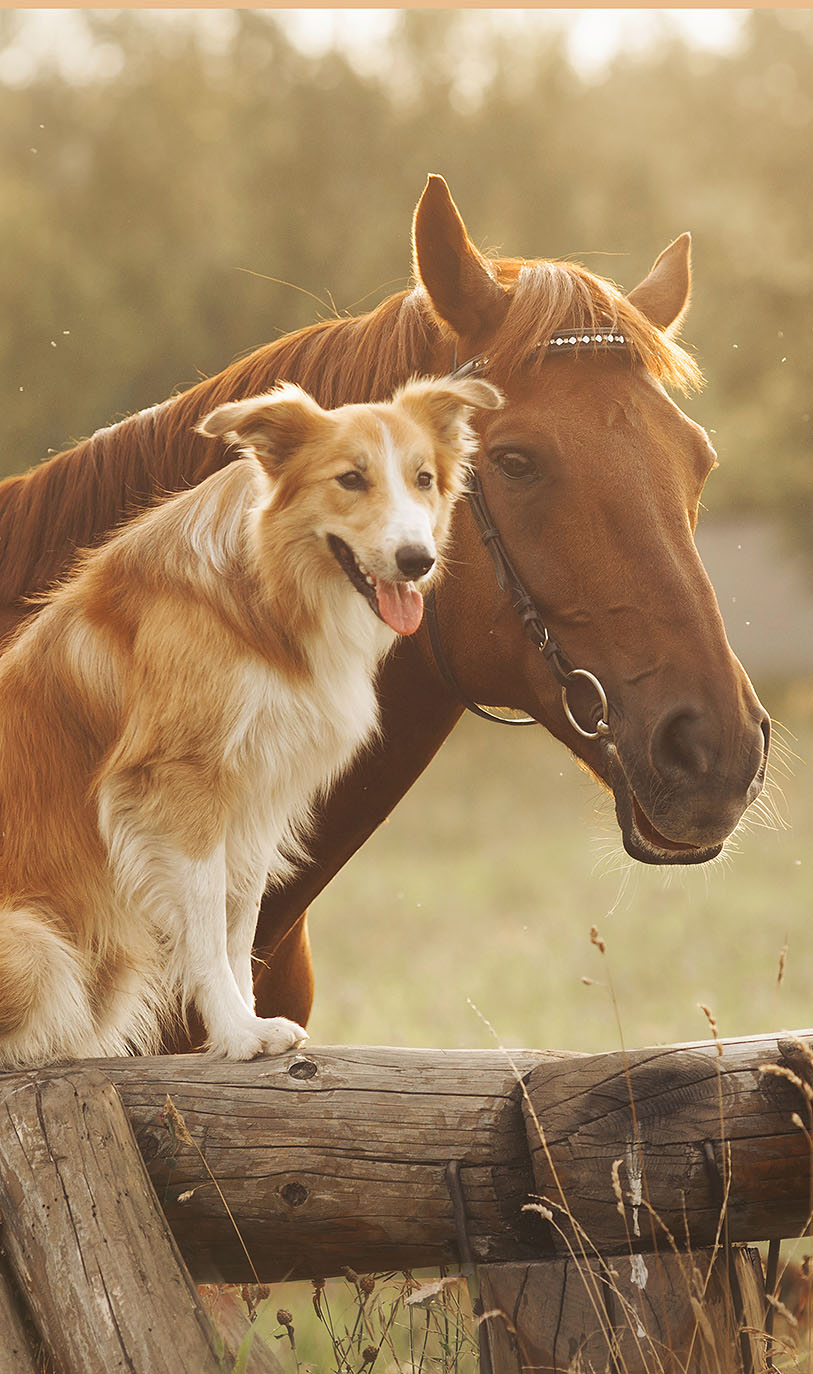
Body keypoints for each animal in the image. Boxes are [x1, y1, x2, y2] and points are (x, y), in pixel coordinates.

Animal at [0, 373, 502, 1060]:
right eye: (351, 479)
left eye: (423, 478)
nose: (416, 560)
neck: (266, 594)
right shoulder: (181, 786)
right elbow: (207, 926)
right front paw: (236, 1033)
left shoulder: (258, 791)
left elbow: (240, 921)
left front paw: (252, 1021)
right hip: (36, 949)